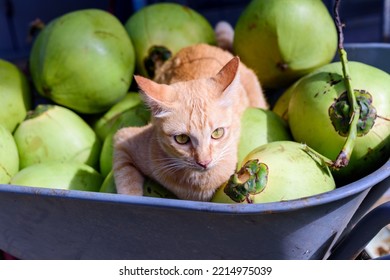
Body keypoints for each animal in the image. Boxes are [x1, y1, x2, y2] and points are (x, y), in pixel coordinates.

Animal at [112, 43, 268, 200]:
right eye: (181, 138)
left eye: (217, 133)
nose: (204, 162)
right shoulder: (123, 139)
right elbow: (126, 179)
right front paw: (132, 196)